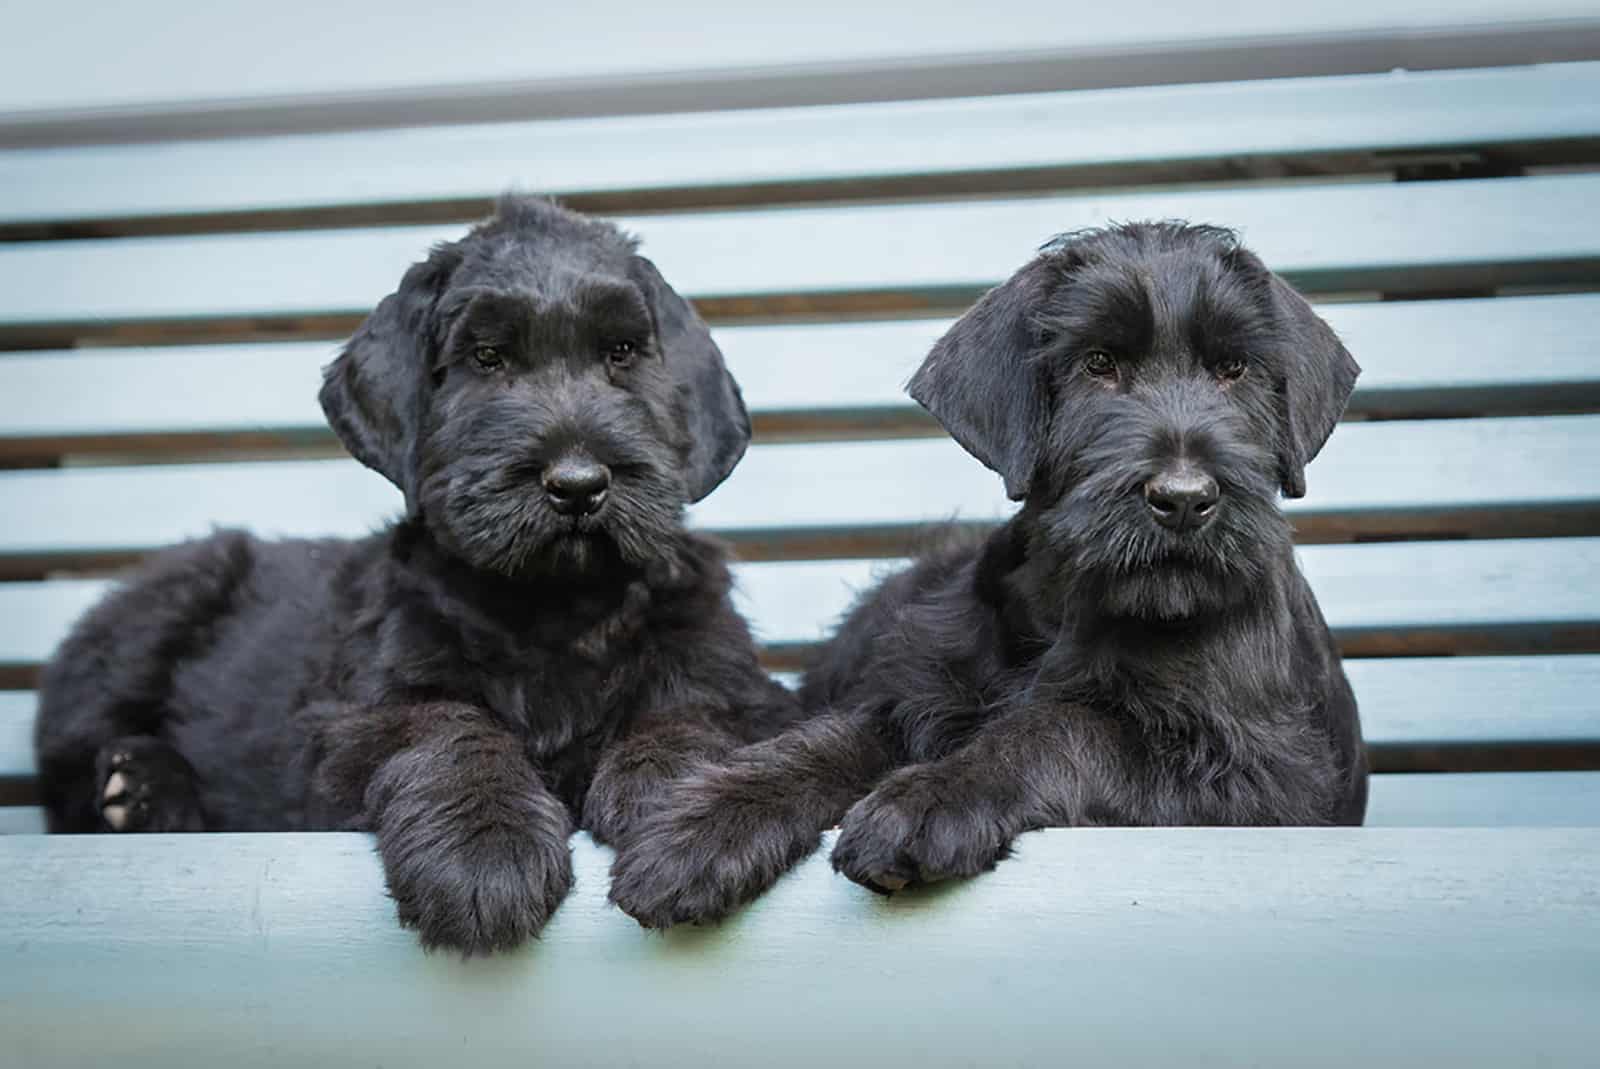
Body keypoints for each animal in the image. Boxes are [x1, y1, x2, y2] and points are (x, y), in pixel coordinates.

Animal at [40, 196, 800, 953]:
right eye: (486, 357)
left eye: (622, 353)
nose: (579, 484)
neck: (555, 606)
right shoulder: (367, 709)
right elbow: (446, 732)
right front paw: (485, 851)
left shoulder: (720, 674)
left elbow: (685, 713)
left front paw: (675, 804)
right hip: (154, 617)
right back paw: (139, 788)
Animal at [604, 219, 1369, 928]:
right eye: (1098, 363)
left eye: (1234, 369)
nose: (1184, 498)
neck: (1077, 606)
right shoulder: (918, 696)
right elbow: (833, 738)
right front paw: (703, 824)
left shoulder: (1260, 781)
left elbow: (1067, 728)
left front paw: (927, 798)